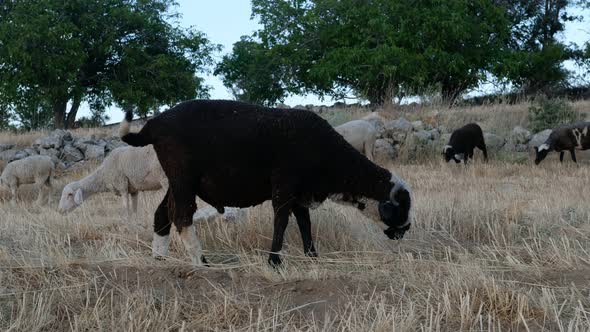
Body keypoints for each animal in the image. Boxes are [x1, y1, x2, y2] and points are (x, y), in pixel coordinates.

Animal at [120, 99, 414, 268]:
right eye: (400, 208)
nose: (404, 232)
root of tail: (154, 125)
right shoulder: (285, 186)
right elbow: (281, 221)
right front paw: (274, 261)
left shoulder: (300, 192)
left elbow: (305, 223)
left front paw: (312, 257)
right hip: (183, 177)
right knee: (181, 216)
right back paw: (200, 263)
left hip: (177, 180)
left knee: (162, 213)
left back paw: (160, 259)